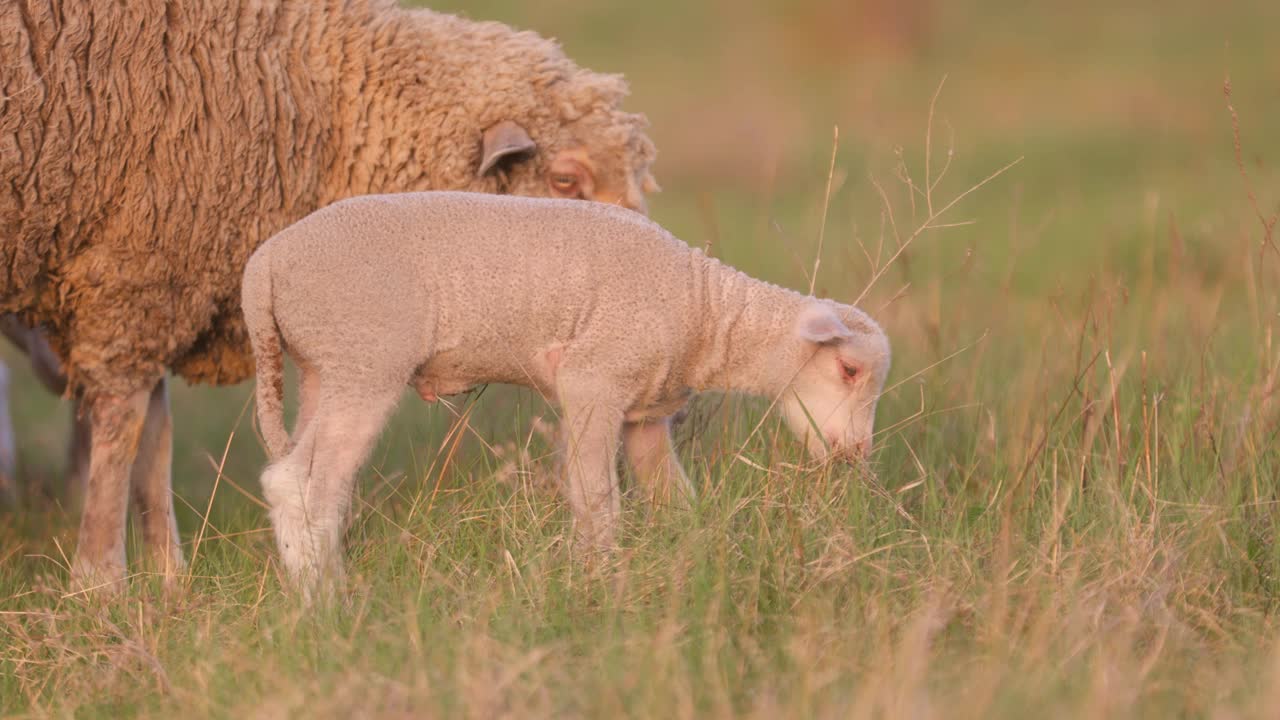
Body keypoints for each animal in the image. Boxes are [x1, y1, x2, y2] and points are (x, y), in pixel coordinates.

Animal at [0, 0, 660, 589]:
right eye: (565, 180)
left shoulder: (155, 279)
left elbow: (150, 438)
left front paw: (167, 577)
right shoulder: (137, 272)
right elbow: (126, 431)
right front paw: (101, 581)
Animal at [240, 190, 890, 589]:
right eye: (849, 371)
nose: (855, 455)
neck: (705, 311)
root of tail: (264, 264)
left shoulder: (644, 411)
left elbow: (674, 498)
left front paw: (699, 555)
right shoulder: (594, 379)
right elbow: (596, 495)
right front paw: (599, 577)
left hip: (323, 365)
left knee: (303, 480)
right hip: (364, 354)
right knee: (305, 484)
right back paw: (328, 602)